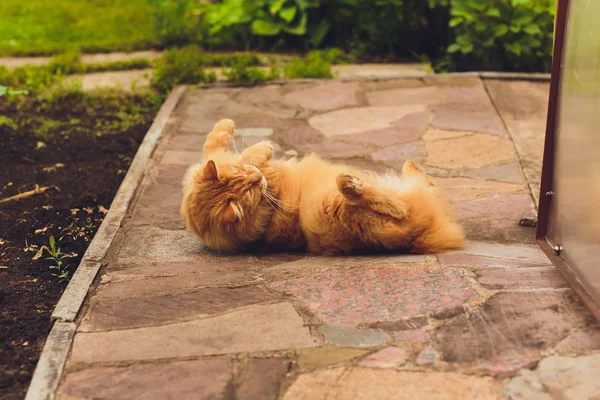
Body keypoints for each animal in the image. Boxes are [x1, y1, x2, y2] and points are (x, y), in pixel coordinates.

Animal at [182, 119, 464, 256]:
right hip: (324, 207)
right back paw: (351, 184)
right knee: (397, 208)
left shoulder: (215, 159)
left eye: (247, 178)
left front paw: (228, 125)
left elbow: (215, 141)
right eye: (250, 191)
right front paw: (265, 147)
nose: (257, 178)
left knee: (424, 185)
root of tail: (419, 238)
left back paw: (410, 165)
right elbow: (250, 153)